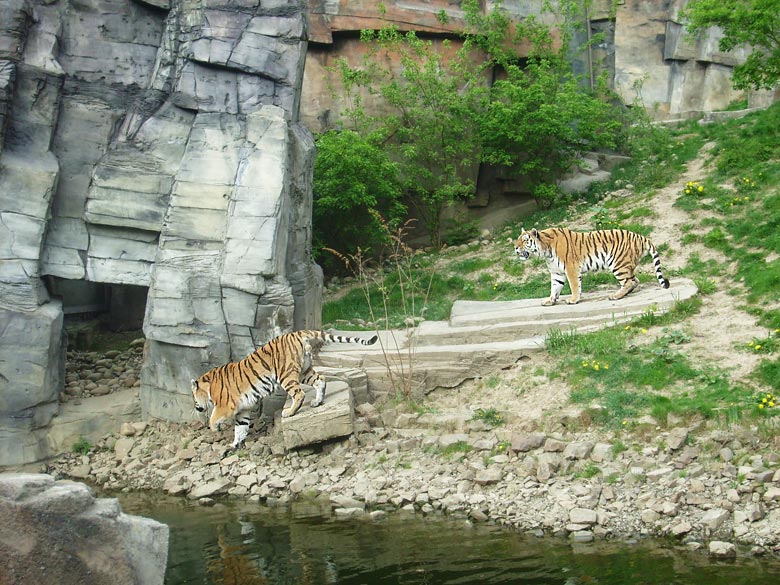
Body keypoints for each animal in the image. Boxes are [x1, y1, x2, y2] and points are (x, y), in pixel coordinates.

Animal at [193, 328, 380, 448]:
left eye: (194, 398)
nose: (196, 407)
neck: (208, 386)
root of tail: (297, 333)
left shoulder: (225, 405)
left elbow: (213, 417)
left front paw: (214, 428)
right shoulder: (242, 410)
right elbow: (241, 428)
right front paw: (235, 444)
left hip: (286, 374)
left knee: (299, 393)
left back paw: (289, 412)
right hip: (304, 370)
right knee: (321, 380)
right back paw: (317, 402)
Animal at [512, 225, 672, 304]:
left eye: (524, 240)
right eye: (518, 239)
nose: (515, 247)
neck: (545, 251)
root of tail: (640, 236)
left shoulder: (571, 268)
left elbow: (574, 286)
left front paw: (573, 300)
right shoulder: (557, 272)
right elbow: (555, 287)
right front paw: (550, 301)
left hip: (618, 264)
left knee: (629, 281)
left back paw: (615, 296)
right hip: (625, 265)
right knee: (635, 280)